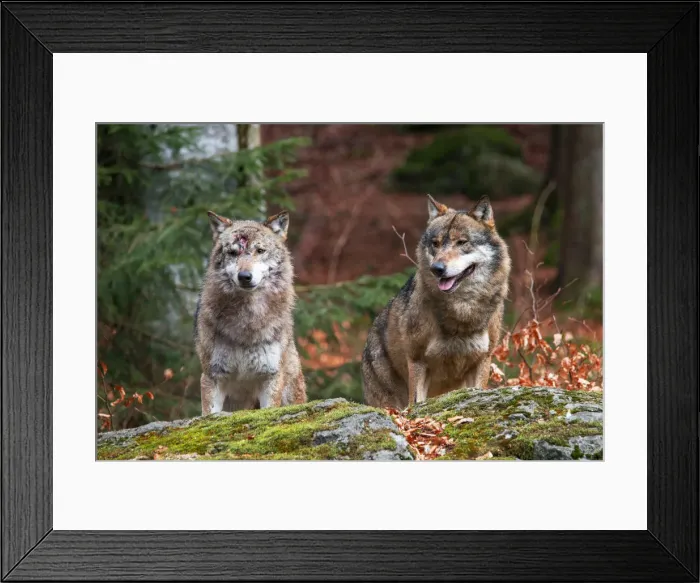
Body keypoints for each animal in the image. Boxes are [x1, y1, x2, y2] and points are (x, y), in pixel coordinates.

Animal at [195, 209, 306, 414]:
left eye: (260, 251)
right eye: (233, 252)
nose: (244, 276)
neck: (247, 321)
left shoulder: (270, 377)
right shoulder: (212, 377)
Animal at [362, 194, 511, 409]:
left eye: (462, 242)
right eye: (436, 243)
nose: (437, 268)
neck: (462, 310)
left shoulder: (482, 359)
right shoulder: (417, 361)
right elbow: (416, 402)